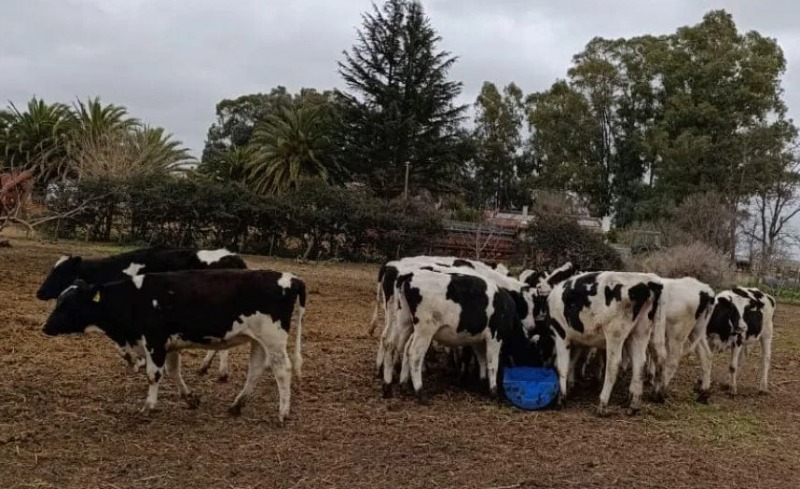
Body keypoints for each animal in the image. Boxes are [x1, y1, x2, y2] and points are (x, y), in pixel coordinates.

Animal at [36, 246, 247, 380]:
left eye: (60, 272)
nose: (39, 293)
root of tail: (234, 257)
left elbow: (123, 347)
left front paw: (136, 363)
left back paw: (220, 372)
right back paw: (207, 368)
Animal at [39, 266, 306, 424]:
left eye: (68, 304)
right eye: (59, 300)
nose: (45, 327)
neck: (135, 298)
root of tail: (290, 278)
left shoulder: (154, 341)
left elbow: (153, 375)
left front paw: (148, 407)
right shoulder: (170, 344)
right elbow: (173, 371)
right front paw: (190, 399)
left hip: (273, 339)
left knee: (283, 370)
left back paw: (282, 413)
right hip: (258, 340)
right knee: (256, 370)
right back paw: (237, 405)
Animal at [536, 270, 664, 416]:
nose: (538, 286)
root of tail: (648, 281)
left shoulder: (561, 336)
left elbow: (562, 366)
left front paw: (561, 398)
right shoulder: (579, 340)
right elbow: (573, 361)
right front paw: (570, 386)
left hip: (615, 333)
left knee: (613, 365)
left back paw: (602, 404)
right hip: (641, 332)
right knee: (642, 363)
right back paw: (635, 404)